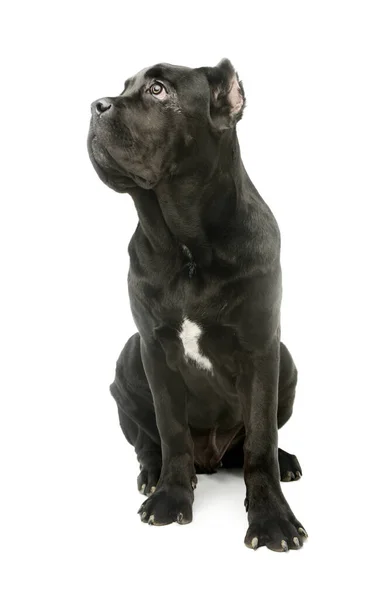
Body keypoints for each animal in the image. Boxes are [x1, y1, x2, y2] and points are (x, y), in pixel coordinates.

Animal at [88, 58, 306, 552]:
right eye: (125, 86)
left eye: (158, 89)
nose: (96, 105)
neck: (185, 245)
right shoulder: (154, 346)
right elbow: (170, 430)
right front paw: (170, 497)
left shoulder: (261, 347)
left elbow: (261, 440)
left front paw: (272, 519)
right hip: (128, 359)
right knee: (146, 439)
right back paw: (152, 474)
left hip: (285, 359)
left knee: (251, 445)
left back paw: (284, 461)